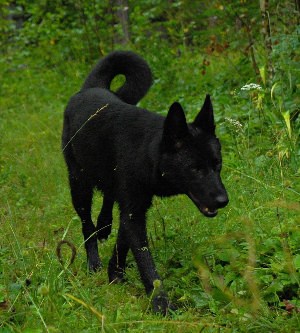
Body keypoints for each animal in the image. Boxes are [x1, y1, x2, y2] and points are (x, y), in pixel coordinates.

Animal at [62, 50, 229, 312]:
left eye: (217, 164)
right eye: (195, 169)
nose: (223, 200)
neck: (147, 151)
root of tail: (91, 87)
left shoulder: (136, 206)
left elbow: (123, 242)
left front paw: (115, 274)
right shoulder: (133, 210)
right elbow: (144, 259)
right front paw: (160, 303)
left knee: (108, 198)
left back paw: (104, 225)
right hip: (79, 183)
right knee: (87, 225)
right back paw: (93, 262)